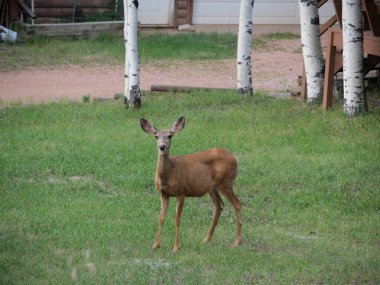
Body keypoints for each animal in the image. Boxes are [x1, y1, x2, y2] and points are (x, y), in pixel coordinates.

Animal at [140, 115, 240, 251]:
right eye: (156, 136)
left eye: (170, 136)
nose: (162, 146)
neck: (169, 172)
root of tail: (235, 157)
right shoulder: (164, 194)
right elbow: (161, 218)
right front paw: (155, 244)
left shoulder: (181, 191)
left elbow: (177, 218)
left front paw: (176, 247)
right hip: (212, 188)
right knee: (219, 205)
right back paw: (206, 239)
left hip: (226, 182)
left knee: (237, 204)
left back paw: (237, 242)